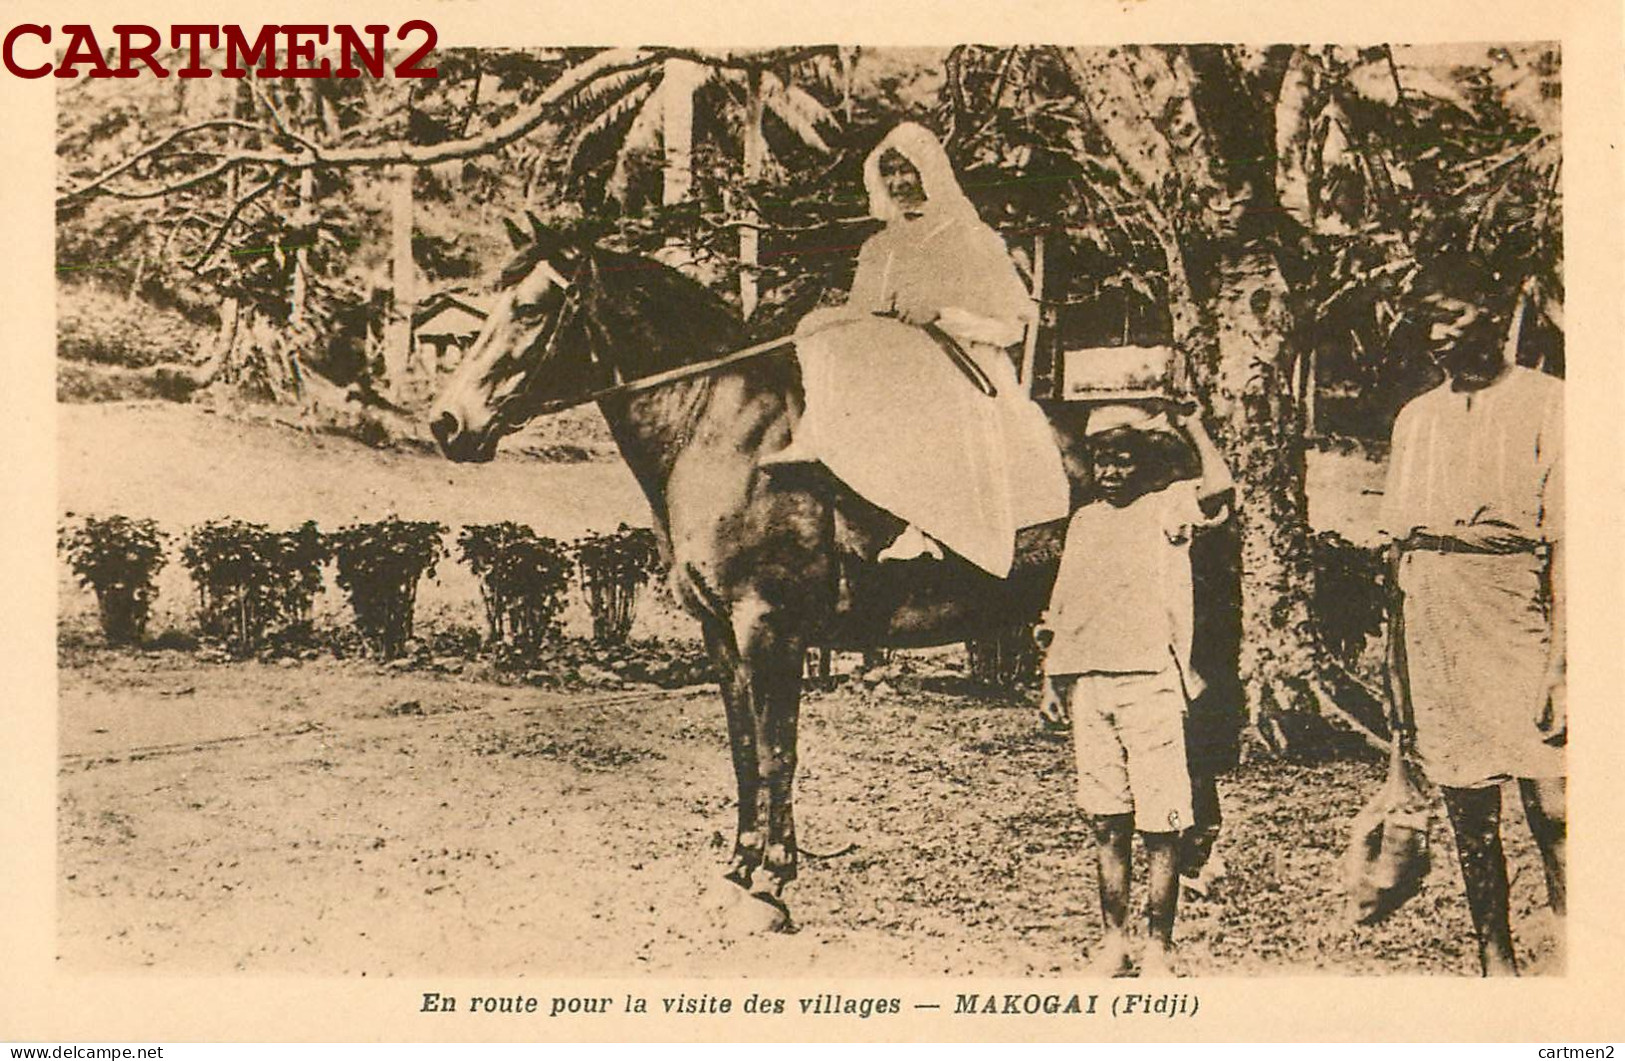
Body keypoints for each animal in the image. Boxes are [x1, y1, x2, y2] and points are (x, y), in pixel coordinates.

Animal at [425, 220, 1235, 929]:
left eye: (531, 308)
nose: (446, 422)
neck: (723, 431)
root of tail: (1190, 444)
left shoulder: (768, 626)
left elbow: (777, 749)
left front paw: (773, 880)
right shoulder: (720, 634)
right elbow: (744, 751)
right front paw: (740, 867)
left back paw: (1193, 862)